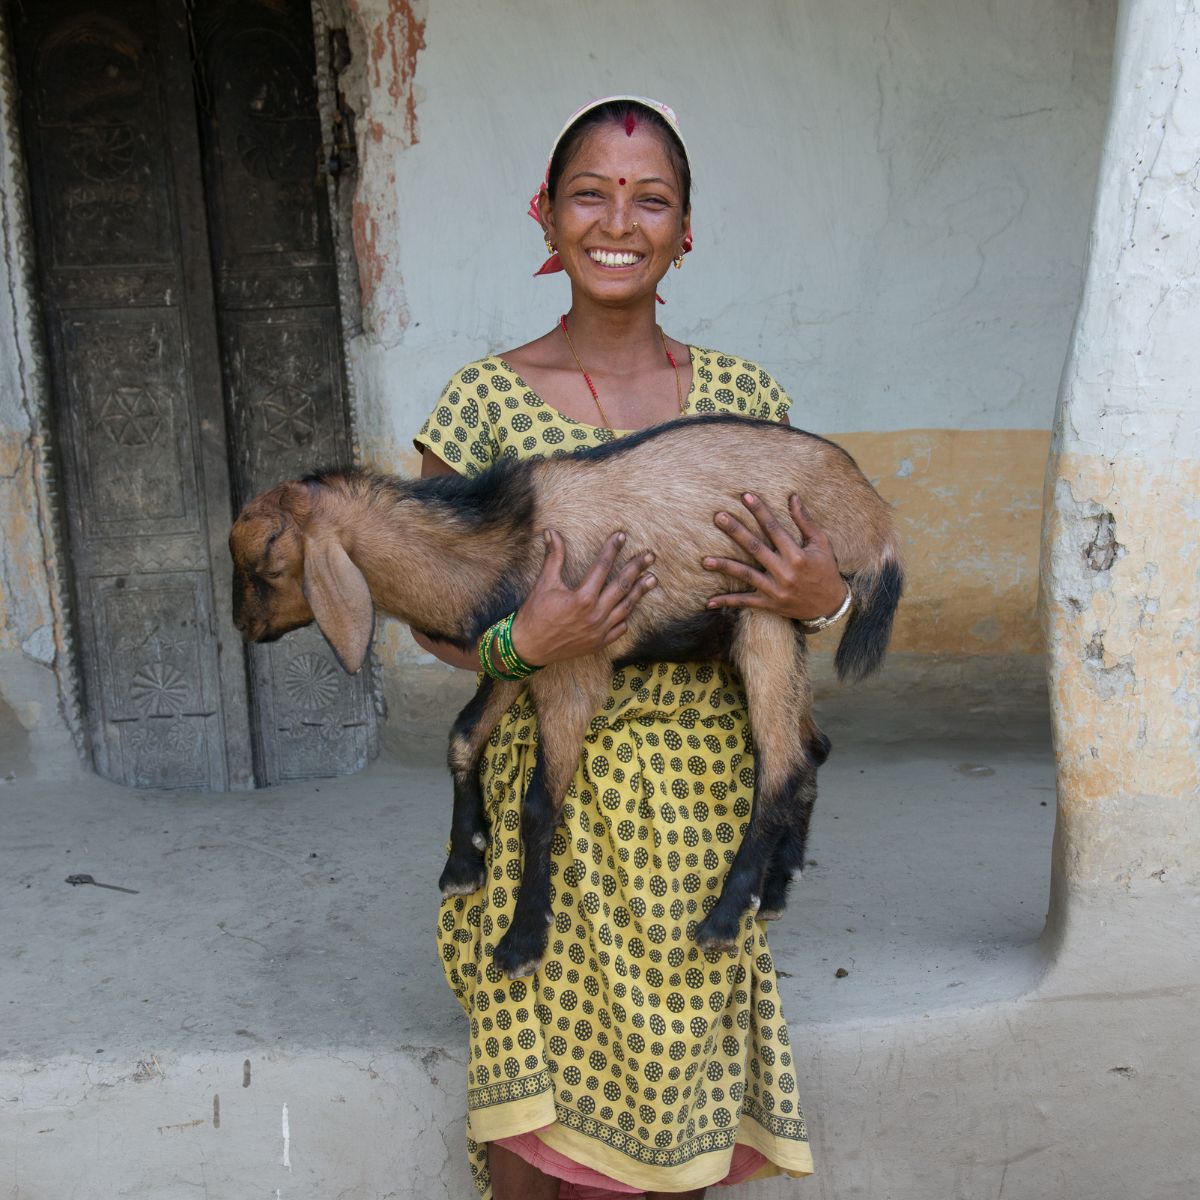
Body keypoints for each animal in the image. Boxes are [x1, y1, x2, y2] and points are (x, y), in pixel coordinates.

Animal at [230, 414, 904, 978]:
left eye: (267, 566)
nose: (242, 626)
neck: (506, 542)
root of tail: (875, 517)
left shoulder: (575, 669)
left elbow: (539, 805)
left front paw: (523, 940)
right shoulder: (519, 650)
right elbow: (463, 736)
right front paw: (463, 862)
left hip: (766, 607)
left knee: (783, 761)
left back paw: (722, 918)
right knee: (812, 746)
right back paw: (779, 884)